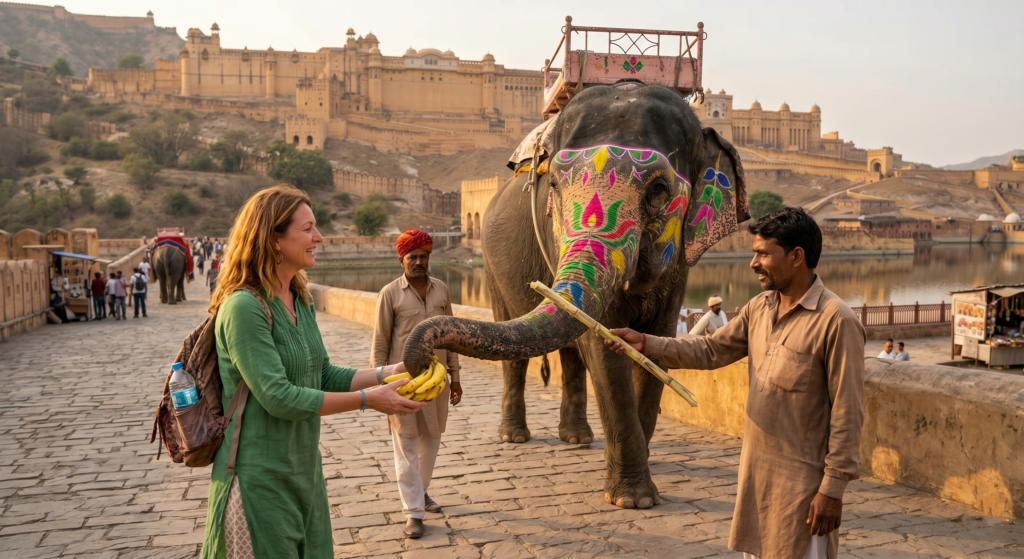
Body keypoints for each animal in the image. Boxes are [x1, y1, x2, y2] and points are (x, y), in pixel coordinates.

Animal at [403, 82, 748, 509]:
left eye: (658, 190)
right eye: (553, 186)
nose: (422, 359)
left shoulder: (682, 259)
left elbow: (657, 339)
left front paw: (638, 486)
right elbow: (601, 346)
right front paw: (631, 499)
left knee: (569, 353)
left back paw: (577, 438)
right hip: (491, 262)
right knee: (517, 348)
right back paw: (514, 436)